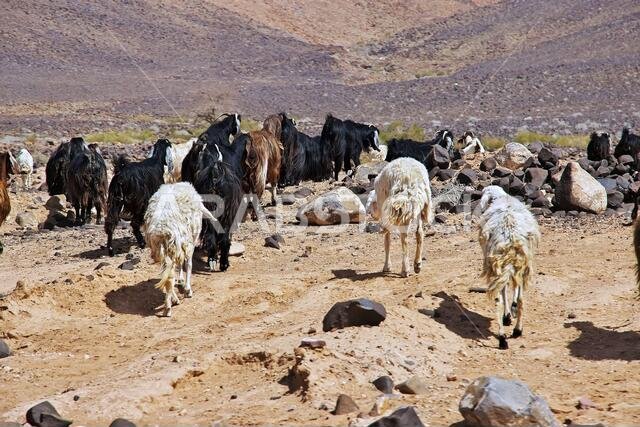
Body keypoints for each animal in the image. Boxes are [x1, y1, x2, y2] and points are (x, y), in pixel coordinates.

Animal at [144, 182, 216, 317]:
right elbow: (188, 264)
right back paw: (169, 306)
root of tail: (162, 229)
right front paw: (187, 288)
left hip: (161, 249)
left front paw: (181, 279)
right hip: (176, 245)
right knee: (171, 275)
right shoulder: (189, 243)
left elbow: (180, 265)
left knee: (167, 274)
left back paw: (172, 300)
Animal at [477, 185, 540, 350]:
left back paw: (503, 337)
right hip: (519, 263)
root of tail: (510, 236)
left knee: (500, 300)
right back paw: (515, 331)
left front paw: (508, 314)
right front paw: (510, 311)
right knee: (521, 299)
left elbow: (507, 290)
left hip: (498, 265)